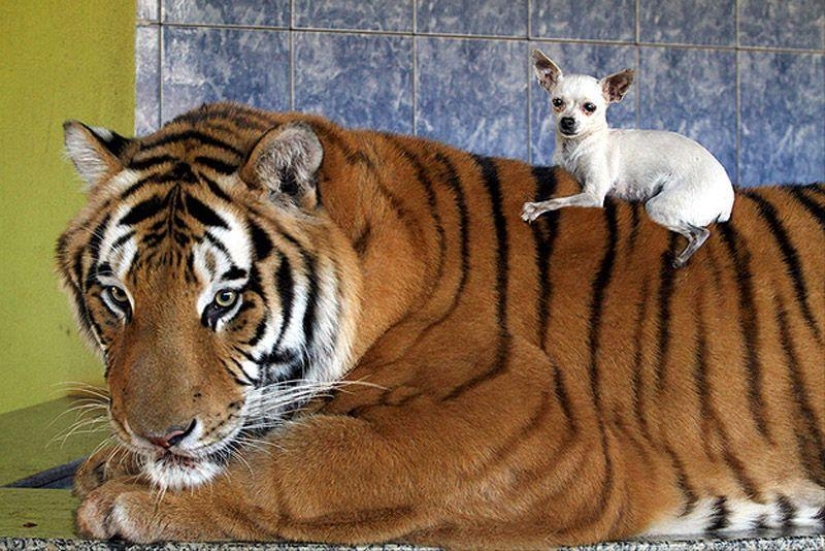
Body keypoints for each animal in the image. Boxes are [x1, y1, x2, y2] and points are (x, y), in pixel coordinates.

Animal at [56, 102, 824, 548]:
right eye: (116, 296)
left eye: (222, 300)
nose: (156, 435)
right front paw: (113, 463)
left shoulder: (528, 422)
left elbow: (305, 462)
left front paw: (123, 501)